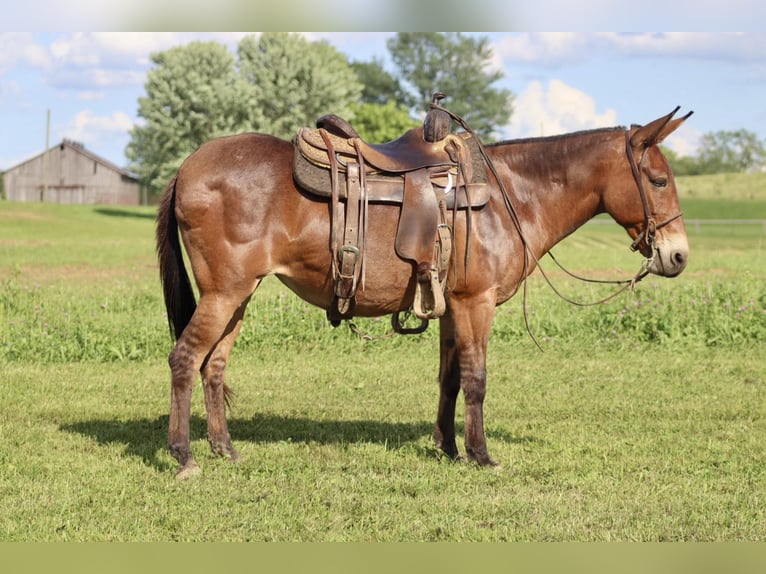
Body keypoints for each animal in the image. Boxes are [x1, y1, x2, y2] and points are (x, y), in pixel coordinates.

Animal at [156, 106, 696, 480]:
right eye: (658, 180)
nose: (678, 256)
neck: (511, 197)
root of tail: (187, 166)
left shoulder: (452, 305)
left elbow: (450, 379)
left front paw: (448, 448)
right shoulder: (476, 303)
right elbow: (476, 379)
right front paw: (481, 455)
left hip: (238, 296)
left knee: (214, 366)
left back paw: (225, 449)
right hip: (224, 293)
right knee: (185, 359)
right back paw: (184, 456)